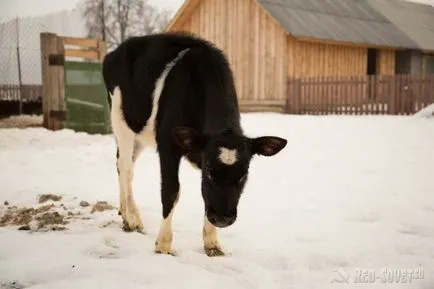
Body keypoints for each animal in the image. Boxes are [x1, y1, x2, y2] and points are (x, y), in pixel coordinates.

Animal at [102, 32, 288, 256]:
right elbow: (171, 191)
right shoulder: (168, 144)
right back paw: (132, 219)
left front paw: (212, 243)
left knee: (123, 165)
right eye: (209, 169)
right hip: (120, 120)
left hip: (139, 134)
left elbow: (206, 195)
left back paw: (125, 213)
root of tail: (116, 51)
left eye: (245, 172)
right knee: (126, 167)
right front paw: (163, 244)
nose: (222, 219)